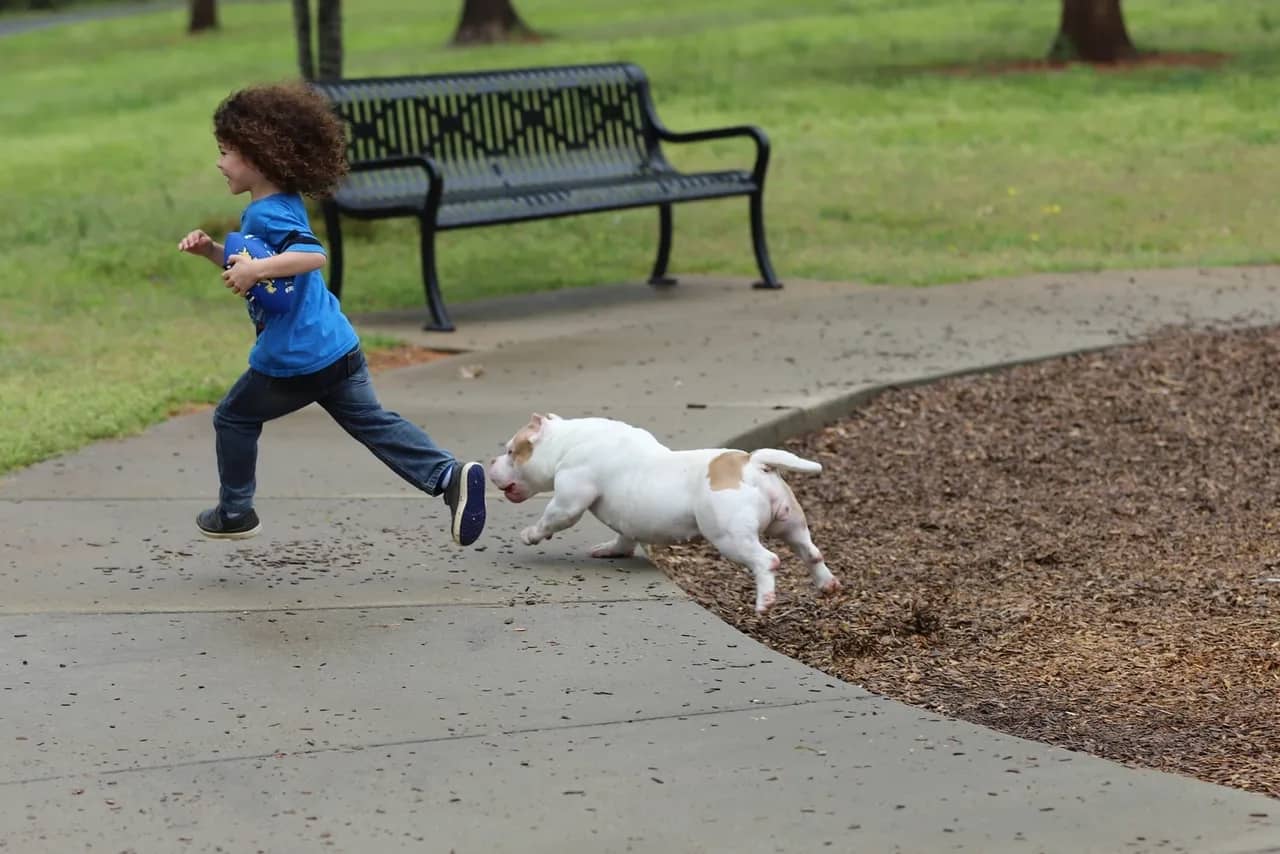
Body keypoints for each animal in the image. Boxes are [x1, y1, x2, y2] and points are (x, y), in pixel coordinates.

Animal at [486, 414, 839, 612]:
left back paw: (764, 601)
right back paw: (827, 584)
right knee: (811, 552)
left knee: (767, 560)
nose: (491, 462)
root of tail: (753, 464)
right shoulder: (626, 521)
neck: (568, 441)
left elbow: (552, 518)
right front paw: (611, 550)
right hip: (790, 524)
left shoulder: (569, 500)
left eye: (511, 451)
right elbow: (623, 537)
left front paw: (530, 535)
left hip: (730, 537)